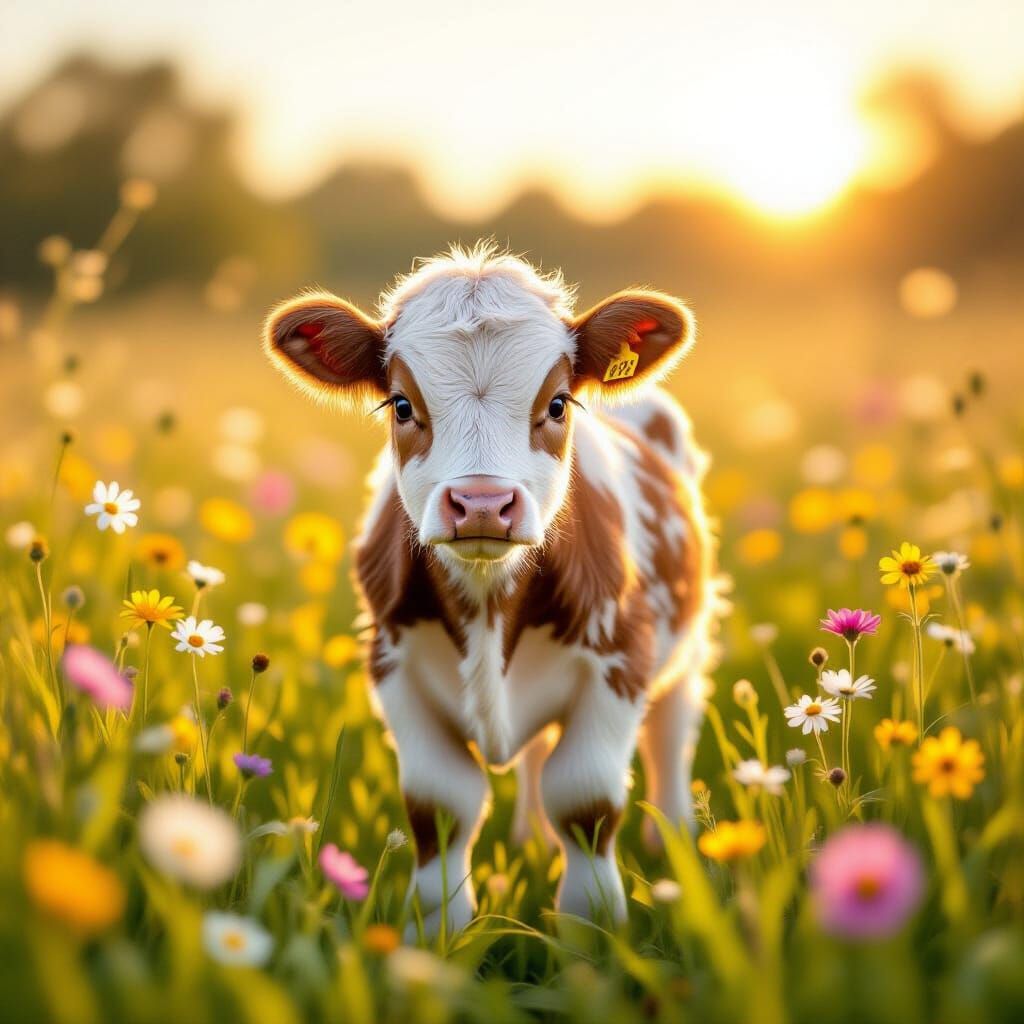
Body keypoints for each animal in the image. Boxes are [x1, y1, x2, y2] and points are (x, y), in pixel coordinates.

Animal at [264, 243, 721, 932]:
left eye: (557, 403)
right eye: (402, 404)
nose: (482, 504)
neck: (488, 606)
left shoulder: (620, 659)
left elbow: (585, 799)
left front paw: (592, 935)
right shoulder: (392, 666)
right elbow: (441, 805)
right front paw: (441, 935)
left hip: (684, 652)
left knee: (669, 739)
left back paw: (672, 844)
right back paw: (531, 840)